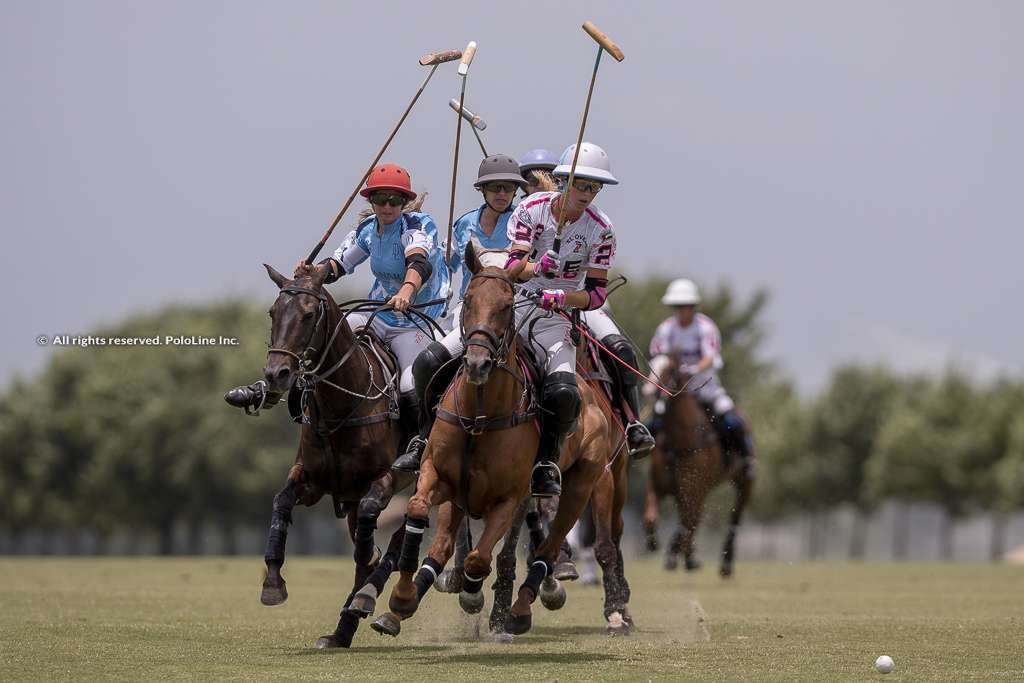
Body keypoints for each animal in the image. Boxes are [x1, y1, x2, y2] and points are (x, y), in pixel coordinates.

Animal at [643, 362, 757, 577]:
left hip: (743, 482)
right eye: (652, 364)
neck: (679, 442)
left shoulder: (694, 490)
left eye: (670, 369)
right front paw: (656, 544)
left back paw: (724, 563)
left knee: (733, 518)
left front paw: (673, 554)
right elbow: (652, 518)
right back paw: (689, 558)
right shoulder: (659, 487)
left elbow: (687, 523)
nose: (650, 391)